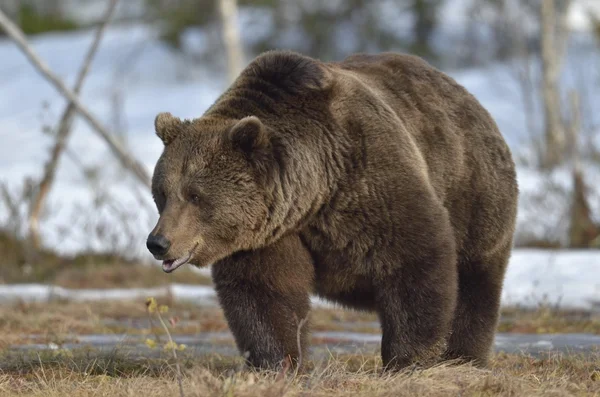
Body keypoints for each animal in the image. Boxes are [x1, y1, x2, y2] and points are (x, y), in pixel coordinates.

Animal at [148, 51, 516, 370]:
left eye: (195, 195)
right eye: (162, 193)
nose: (158, 242)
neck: (313, 191)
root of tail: (467, 96)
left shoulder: (370, 178)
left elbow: (415, 258)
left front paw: (409, 358)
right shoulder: (270, 232)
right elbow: (264, 293)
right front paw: (277, 363)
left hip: (473, 193)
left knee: (474, 280)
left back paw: (463, 357)